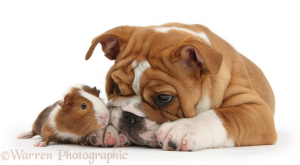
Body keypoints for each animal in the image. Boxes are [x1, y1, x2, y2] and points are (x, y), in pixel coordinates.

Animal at [84, 22, 276, 151]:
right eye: (116, 87)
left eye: (164, 98)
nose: (130, 116)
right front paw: (106, 128)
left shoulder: (258, 110)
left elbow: (225, 116)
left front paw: (186, 128)